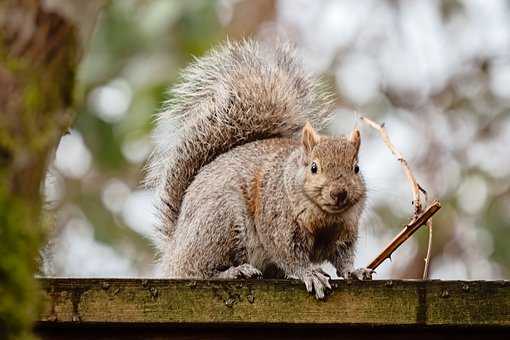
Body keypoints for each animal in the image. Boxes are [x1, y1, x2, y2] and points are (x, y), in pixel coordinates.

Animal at [145, 40, 372, 300]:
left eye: (356, 168)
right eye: (313, 167)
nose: (339, 193)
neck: (325, 217)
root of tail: (173, 249)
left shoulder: (346, 231)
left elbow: (343, 258)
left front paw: (354, 272)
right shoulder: (277, 224)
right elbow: (289, 256)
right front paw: (309, 274)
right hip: (219, 221)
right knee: (198, 270)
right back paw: (234, 272)